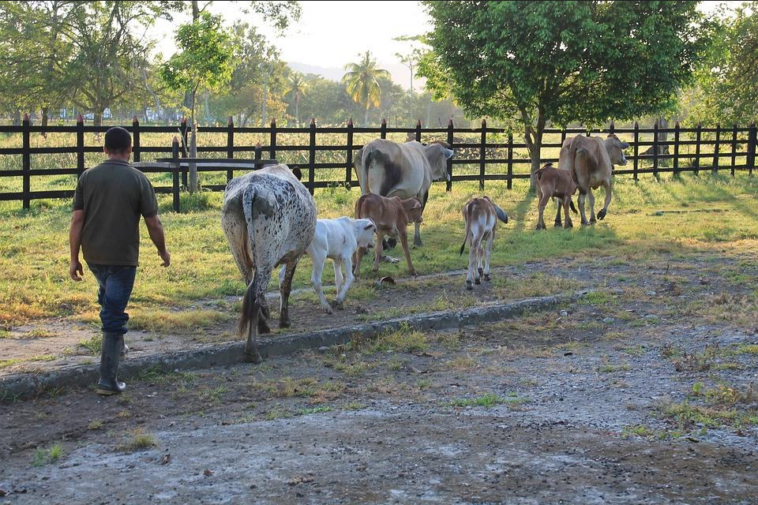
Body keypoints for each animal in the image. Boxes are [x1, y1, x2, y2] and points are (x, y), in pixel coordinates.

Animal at [221, 163, 316, 360]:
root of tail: (250, 188)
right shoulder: (295, 255)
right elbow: (286, 287)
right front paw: (284, 321)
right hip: (266, 257)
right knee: (255, 297)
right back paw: (252, 350)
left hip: (240, 255)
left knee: (252, 289)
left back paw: (261, 327)